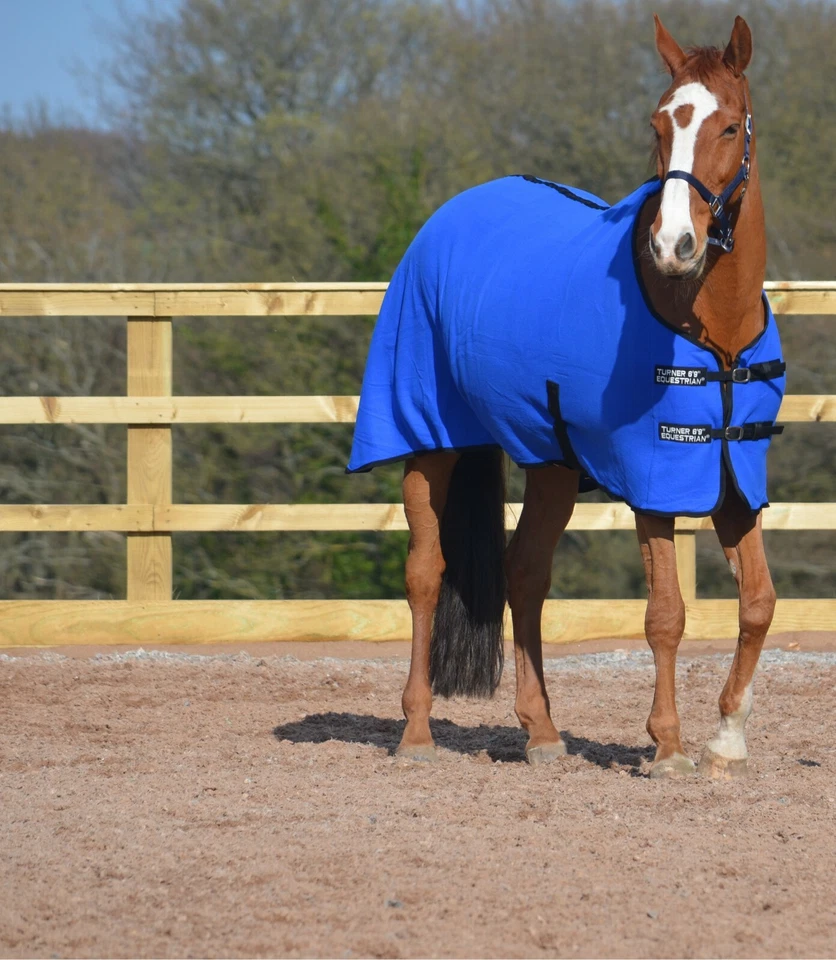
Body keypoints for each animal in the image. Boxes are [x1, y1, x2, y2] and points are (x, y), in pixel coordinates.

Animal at [348, 15, 785, 780]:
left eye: (730, 127)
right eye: (659, 124)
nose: (675, 244)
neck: (711, 329)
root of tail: (446, 218)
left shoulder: (734, 477)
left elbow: (758, 602)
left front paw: (727, 736)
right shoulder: (653, 477)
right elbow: (665, 614)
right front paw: (667, 746)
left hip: (551, 461)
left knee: (524, 572)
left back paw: (542, 733)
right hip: (428, 441)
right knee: (425, 574)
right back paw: (417, 733)